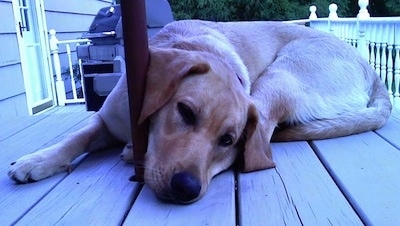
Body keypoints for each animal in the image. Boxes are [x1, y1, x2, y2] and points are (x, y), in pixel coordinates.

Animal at [8, 19, 390, 203]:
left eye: (228, 140)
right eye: (185, 112)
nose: (186, 188)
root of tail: (373, 71)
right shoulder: (106, 118)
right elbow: (77, 137)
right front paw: (37, 160)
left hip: (279, 77)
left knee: (263, 134)